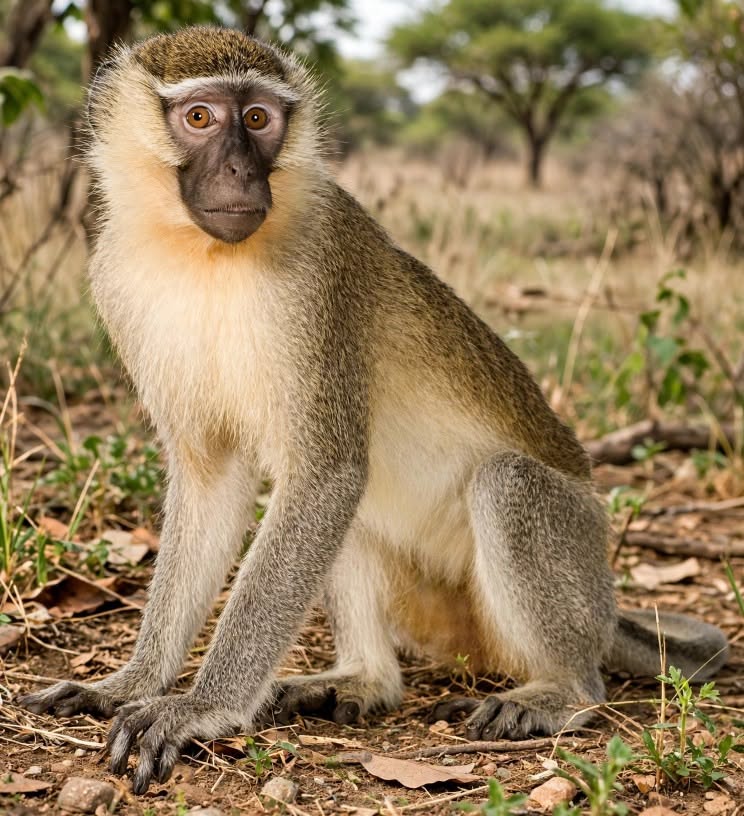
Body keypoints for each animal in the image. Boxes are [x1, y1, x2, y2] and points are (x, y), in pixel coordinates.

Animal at [21, 26, 729, 795]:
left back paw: (563, 690)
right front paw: (130, 682)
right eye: (201, 117)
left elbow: (326, 473)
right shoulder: (115, 275)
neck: (202, 252)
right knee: (356, 511)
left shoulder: (318, 278)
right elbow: (217, 481)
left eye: (259, 119)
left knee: (503, 484)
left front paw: (199, 707)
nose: (240, 172)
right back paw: (363, 679)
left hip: (571, 562)